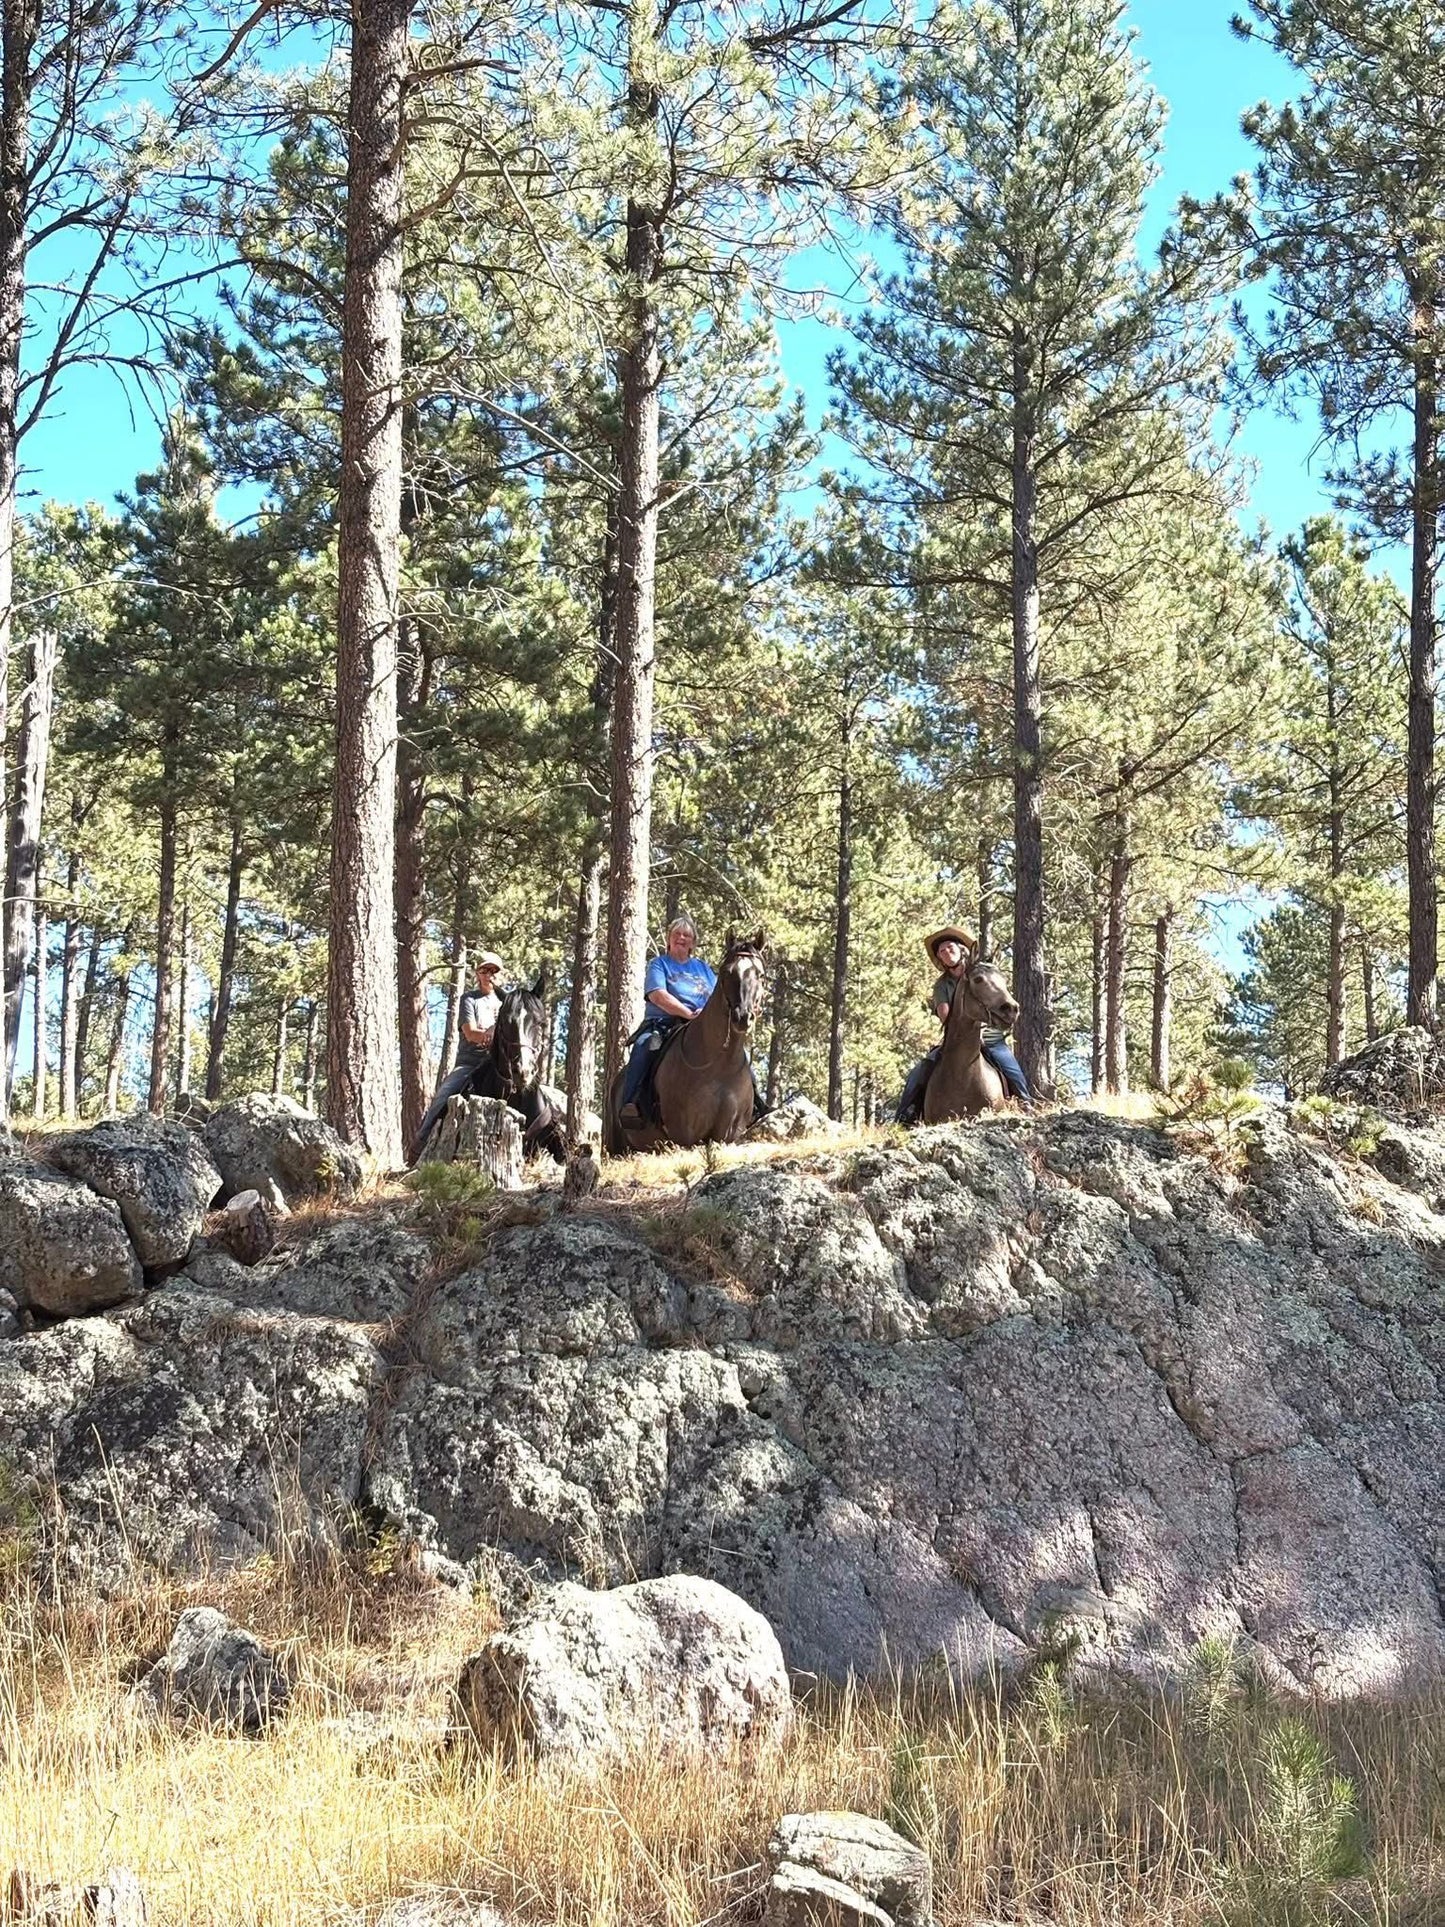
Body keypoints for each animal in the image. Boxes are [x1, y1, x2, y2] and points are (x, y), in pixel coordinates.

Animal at [605, 932, 766, 1154]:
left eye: (760, 975)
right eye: (726, 972)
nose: (742, 1017)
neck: (719, 1065)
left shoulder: (727, 1134)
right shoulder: (685, 1135)